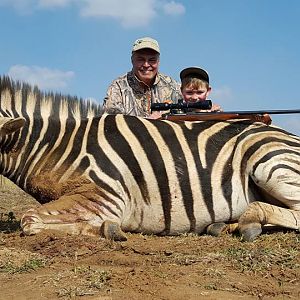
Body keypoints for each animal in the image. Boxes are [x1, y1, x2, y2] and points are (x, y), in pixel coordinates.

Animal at [0, 76, 298, 243]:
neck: (59, 145)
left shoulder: (105, 197)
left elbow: (29, 220)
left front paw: (109, 229)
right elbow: (32, 219)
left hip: (268, 161)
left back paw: (248, 223)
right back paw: (224, 226)